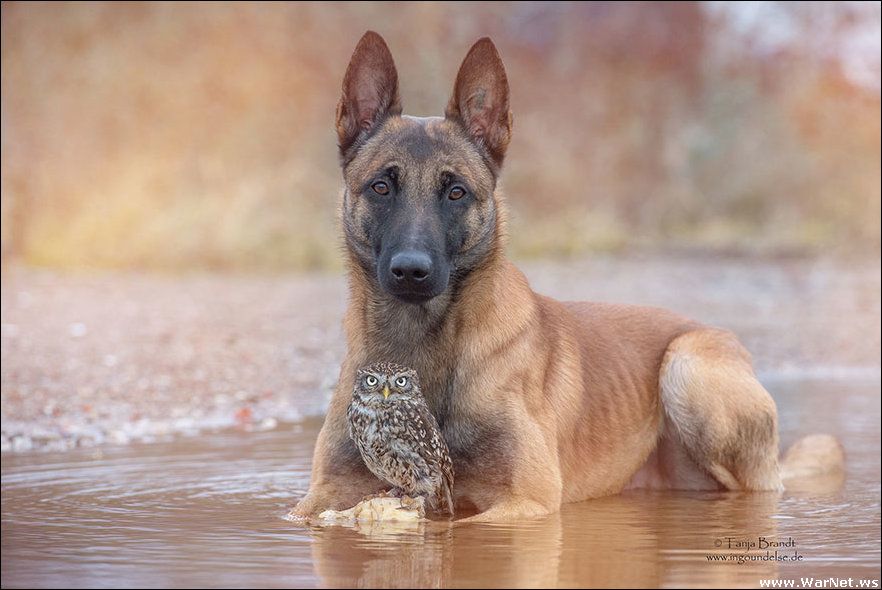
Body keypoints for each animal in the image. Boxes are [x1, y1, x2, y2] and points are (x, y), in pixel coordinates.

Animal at [292, 32, 844, 524]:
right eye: (381, 186)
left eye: (456, 192)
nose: (411, 271)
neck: (417, 343)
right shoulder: (323, 494)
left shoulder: (524, 503)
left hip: (687, 368)